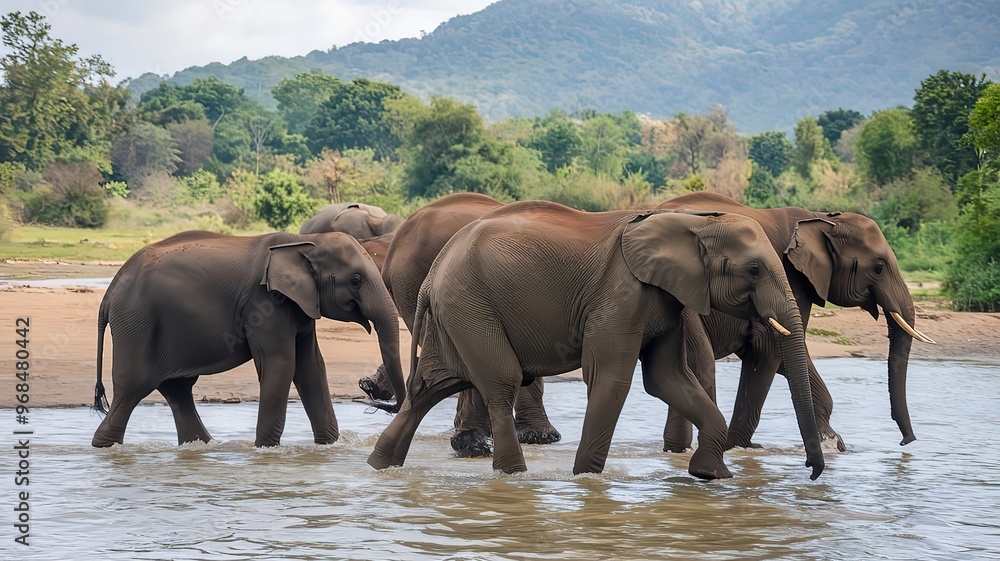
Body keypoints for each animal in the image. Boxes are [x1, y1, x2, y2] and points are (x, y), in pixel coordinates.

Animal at [91, 230, 406, 448]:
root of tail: (109, 293)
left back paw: (202, 446)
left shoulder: (300, 306)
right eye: (355, 280)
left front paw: (328, 447)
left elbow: (311, 368)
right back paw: (103, 447)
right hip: (137, 323)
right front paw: (265, 451)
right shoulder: (264, 302)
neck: (305, 241)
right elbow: (281, 365)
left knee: (177, 389)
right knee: (134, 388)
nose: (385, 404)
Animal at [657, 192, 935, 453]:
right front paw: (738, 449)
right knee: (700, 362)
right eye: (878, 267)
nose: (905, 441)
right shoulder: (790, 278)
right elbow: (769, 351)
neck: (823, 220)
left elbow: (790, 358)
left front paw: (834, 445)